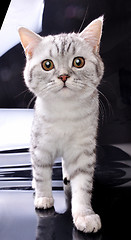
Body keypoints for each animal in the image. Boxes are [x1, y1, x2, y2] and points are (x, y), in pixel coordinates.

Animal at [18, 16, 104, 232]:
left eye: (78, 62)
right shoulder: (41, 147)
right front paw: (43, 198)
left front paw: (84, 215)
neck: (65, 111)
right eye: (47, 65)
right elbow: (42, 175)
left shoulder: (83, 150)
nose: (63, 76)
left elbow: (83, 186)